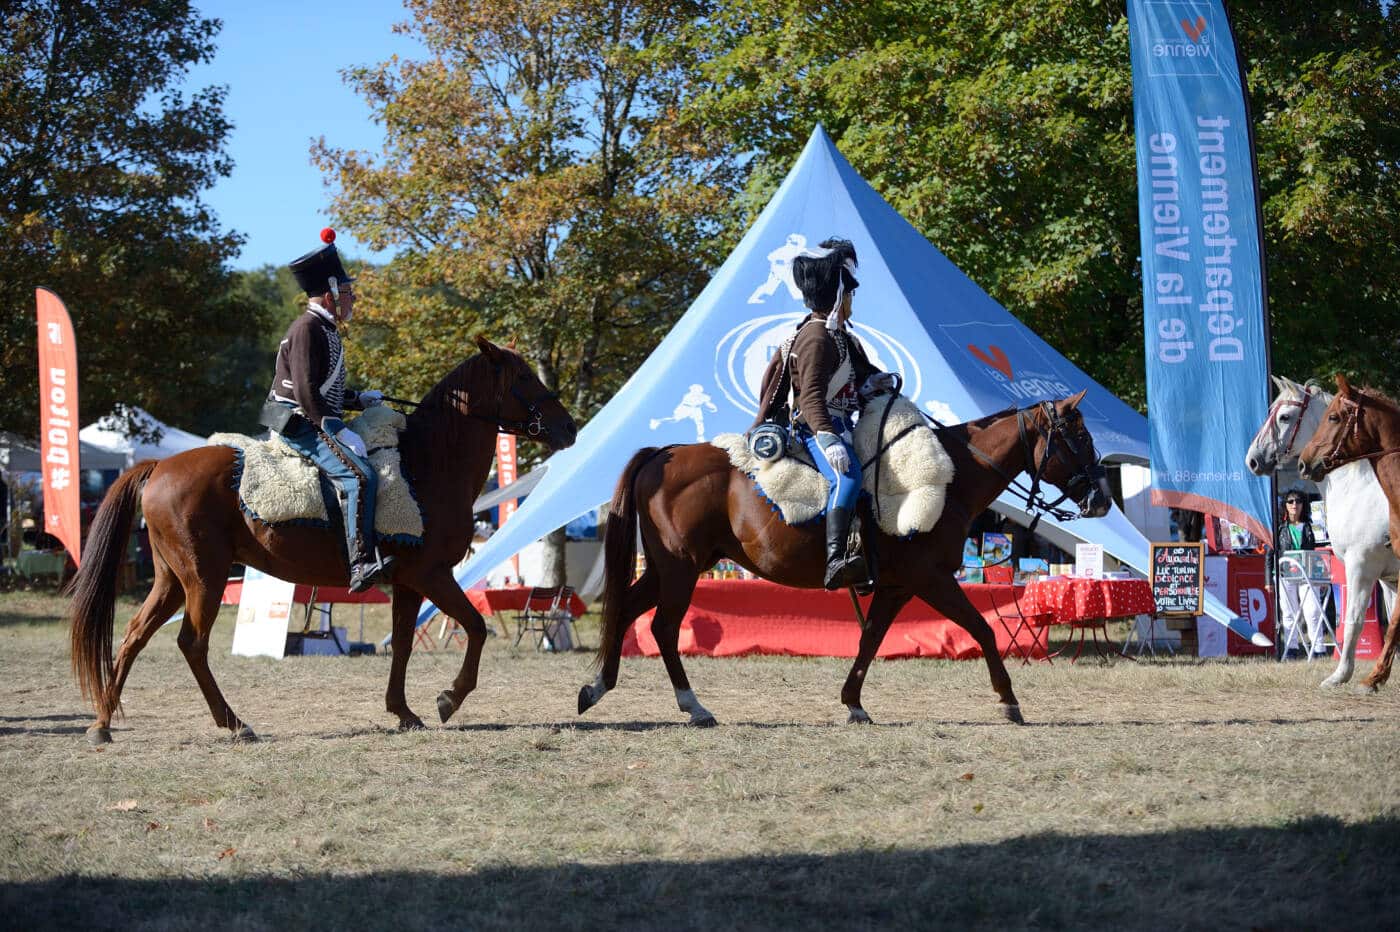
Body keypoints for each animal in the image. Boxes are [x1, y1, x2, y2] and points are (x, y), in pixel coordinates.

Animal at [69, 334, 574, 738]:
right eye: (524, 377)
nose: (569, 428)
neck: (426, 463)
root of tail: (159, 467)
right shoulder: (432, 576)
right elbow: (475, 627)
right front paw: (449, 698)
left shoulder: (408, 583)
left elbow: (404, 643)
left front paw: (403, 711)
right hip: (203, 579)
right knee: (191, 643)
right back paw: (234, 723)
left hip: (171, 580)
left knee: (134, 635)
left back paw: (103, 723)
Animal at [574, 391, 1108, 727]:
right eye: (1080, 439)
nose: (1101, 499)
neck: (952, 478)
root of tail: (663, 452)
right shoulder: (931, 579)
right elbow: (981, 628)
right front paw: (1009, 700)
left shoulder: (897, 585)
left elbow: (871, 639)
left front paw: (853, 703)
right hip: (680, 569)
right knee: (663, 628)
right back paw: (693, 705)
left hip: (669, 569)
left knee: (626, 611)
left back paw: (598, 687)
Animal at [1248, 375, 1388, 685]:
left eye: (1285, 417)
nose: (1252, 460)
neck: (1359, 487)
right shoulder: (1387, 576)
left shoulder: (1362, 567)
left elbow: (1353, 620)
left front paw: (1340, 675)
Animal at [1288, 372, 1400, 688]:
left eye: (1334, 417)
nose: (1304, 463)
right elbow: (1394, 622)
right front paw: (1376, 676)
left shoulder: (1364, 566)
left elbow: (1358, 619)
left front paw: (1346, 674)